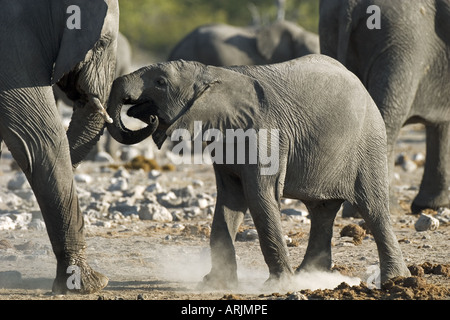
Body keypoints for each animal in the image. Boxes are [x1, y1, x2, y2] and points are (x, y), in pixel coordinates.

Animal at [106, 55, 412, 288]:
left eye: (160, 82)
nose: (150, 117)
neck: (214, 73)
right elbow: (230, 199)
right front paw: (214, 284)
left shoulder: (265, 135)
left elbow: (258, 196)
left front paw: (278, 286)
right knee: (321, 210)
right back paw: (311, 277)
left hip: (369, 142)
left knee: (372, 208)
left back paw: (394, 281)